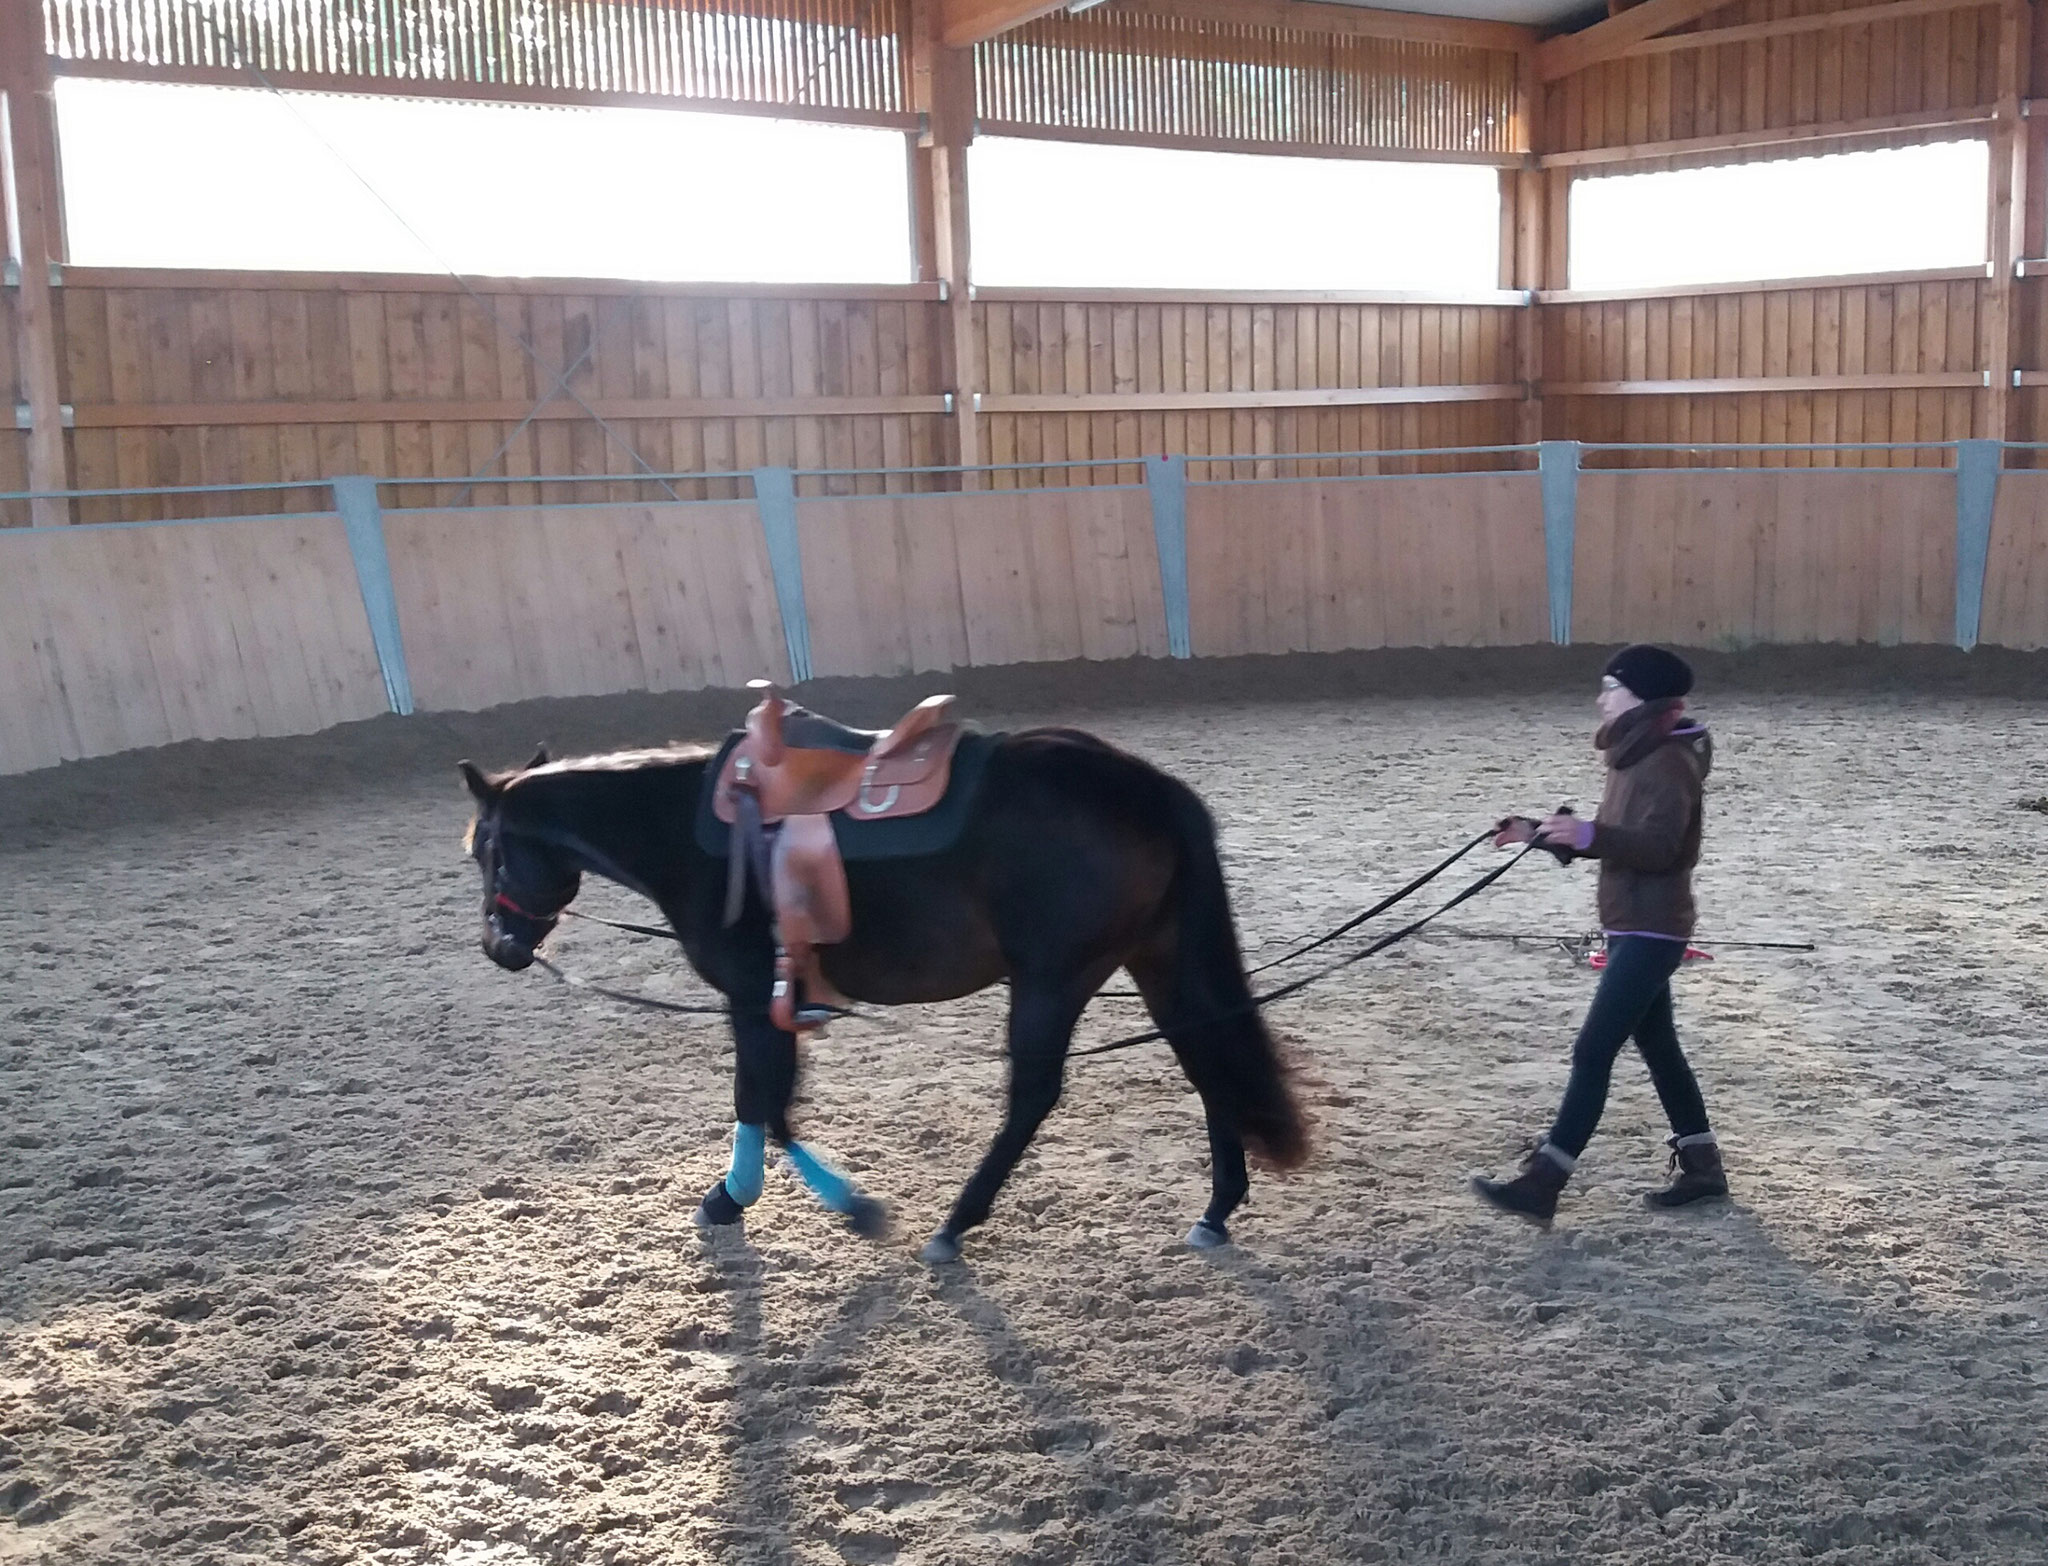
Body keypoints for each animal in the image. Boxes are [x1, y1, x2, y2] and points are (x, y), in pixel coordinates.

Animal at [458, 728, 1302, 1260]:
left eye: (486, 852)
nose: (499, 949)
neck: (690, 836)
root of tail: (1150, 789)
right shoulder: (773, 997)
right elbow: (769, 1099)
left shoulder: (749, 992)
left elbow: (763, 1101)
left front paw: (823, 1203)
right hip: (1155, 960)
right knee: (1207, 1062)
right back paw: (1216, 1211)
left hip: (1053, 979)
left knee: (1034, 1097)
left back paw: (956, 1225)